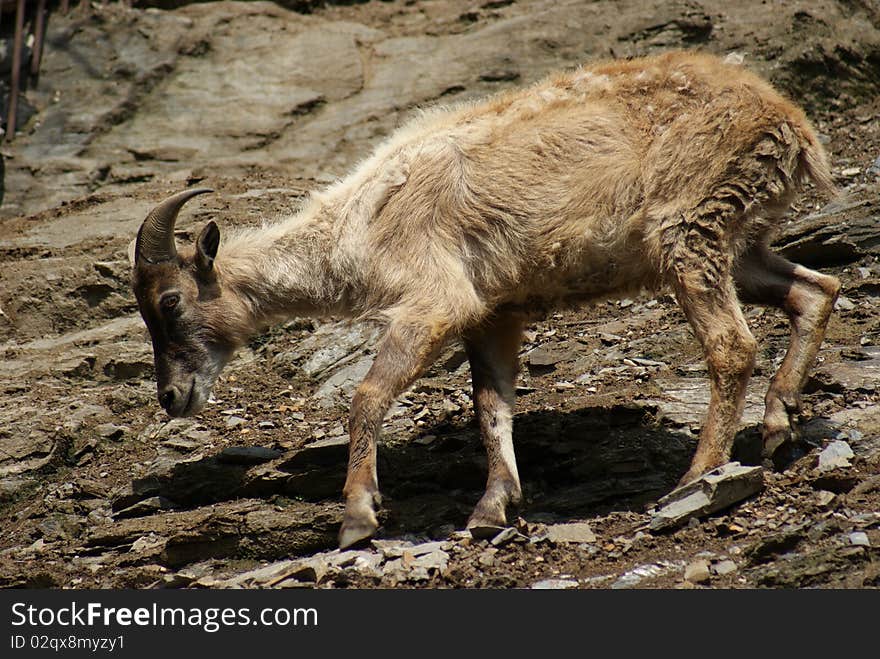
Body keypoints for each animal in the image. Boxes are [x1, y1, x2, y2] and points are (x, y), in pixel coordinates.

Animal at [129, 51, 840, 548]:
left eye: (170, 303)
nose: (171, 397)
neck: (363, 221)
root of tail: (794, 126)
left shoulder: (435, 301)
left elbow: (369, 395)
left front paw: (357, 515)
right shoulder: (494, 313)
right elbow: (491, 405)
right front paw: (492, 507)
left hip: (688, 230)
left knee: (732, 345)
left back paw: (695, 478)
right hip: (738, 243)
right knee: (815, 289)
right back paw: (778, 420)